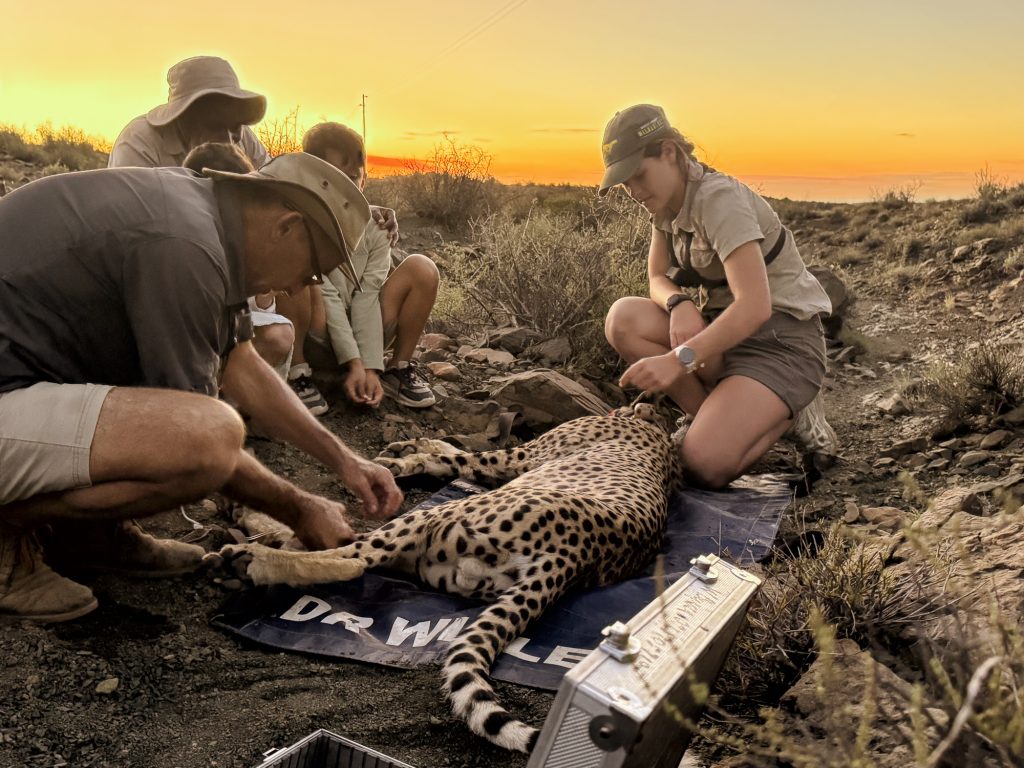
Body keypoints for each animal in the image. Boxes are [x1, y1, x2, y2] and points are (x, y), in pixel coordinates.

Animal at [212, 403, 681, 753]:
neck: (652, 425)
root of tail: (573, 562)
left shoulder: (511, 460)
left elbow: (453, 458)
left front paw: (403, 456)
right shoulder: (501, 466)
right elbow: (445, 454)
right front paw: (409, 447)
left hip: (435, 517)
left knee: (353, 555)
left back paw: (251, 554)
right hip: (438, 559)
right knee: (354, 548)